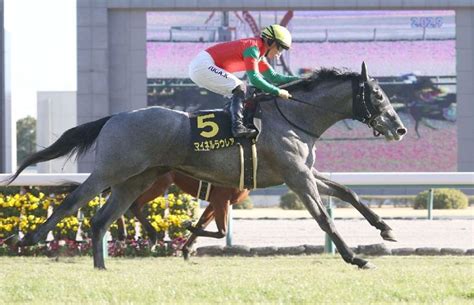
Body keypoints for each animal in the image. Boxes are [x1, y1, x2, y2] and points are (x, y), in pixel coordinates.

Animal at [6, 62, 408, 268]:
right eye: (377, 95)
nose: (399, 128)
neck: (294, 116)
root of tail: (114, 117)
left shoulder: (304, 172)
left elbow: (348, 192)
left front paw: (386, 228)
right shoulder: (296, 176)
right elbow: (324, 217)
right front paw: (355, 258)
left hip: (136, 180)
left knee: (102, 218)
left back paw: (108, 264)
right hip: (111, 171)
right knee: (73, 202)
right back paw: (29, 239)